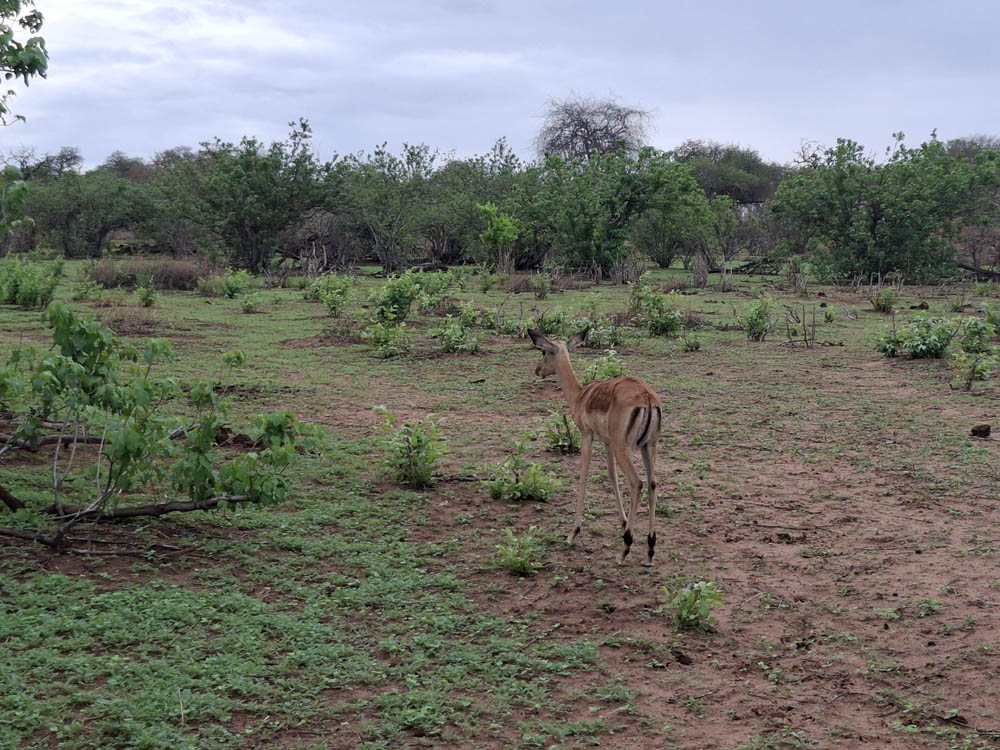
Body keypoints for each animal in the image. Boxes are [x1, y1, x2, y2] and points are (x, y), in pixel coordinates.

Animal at [528, 328, 662, 566]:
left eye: (544, 352)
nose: (537, 370)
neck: (580, 396)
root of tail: (647, 397)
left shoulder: (586, 437)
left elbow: (583, 477)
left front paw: (573, 532)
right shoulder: (606, 442)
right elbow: (611, 476)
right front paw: (623, 523)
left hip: (623, 447)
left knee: (636, 483)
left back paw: (625, 549)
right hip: (648, 446)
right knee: (653, 483)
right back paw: (649, 550)